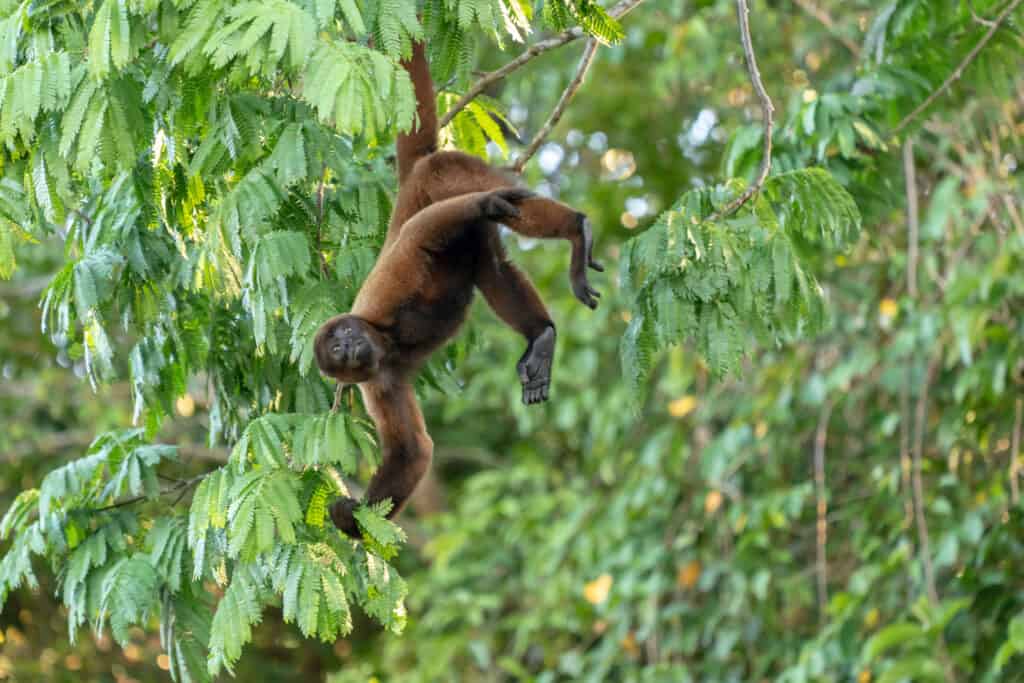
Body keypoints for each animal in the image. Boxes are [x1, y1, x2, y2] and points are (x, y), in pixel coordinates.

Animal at [313, 41, 598, 540]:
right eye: (338, 355)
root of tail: (408, 180)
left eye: (343, 338)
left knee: (462, 201)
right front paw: (352, 518)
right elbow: (414, 450)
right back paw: (541, 337)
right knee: (496, 270)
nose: (348, 347)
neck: (382, 339)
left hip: (444, 172)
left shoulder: (385, 291)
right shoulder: (378, 381)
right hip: (474, 244)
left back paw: (572, 228)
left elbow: (421, 234)